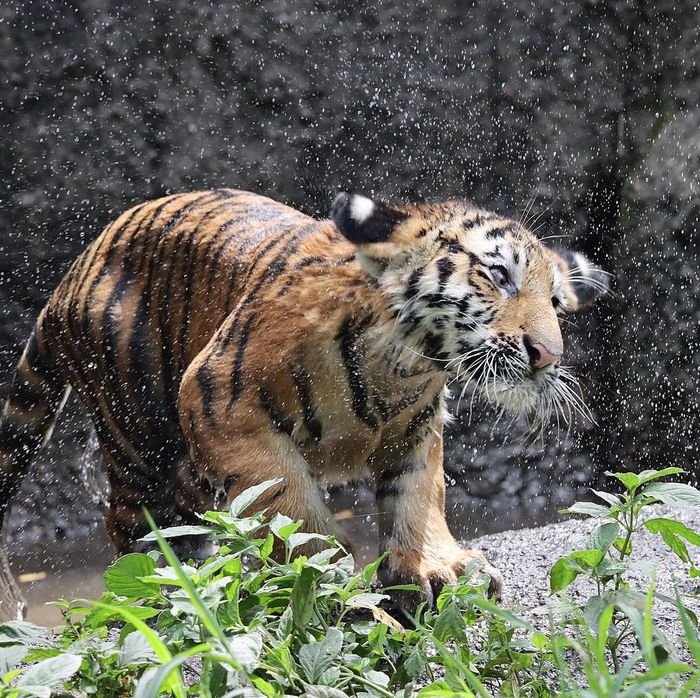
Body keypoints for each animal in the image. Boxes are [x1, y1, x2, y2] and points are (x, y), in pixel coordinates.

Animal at [0, 188, 607, 607]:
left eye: (557, 301)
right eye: (499, 275)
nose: (548, 355)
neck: (406, 365)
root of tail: (76, 272)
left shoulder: (417, 426)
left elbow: (418, 492)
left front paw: (437, 567)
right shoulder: (221, 405)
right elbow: (288, 503)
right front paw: (333, 580)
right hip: (139, 435)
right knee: (136, 527)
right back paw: (167, 590)